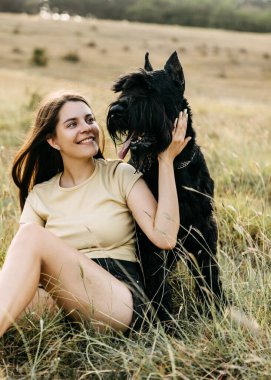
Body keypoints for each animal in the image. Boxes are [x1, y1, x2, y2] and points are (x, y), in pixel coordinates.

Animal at [107, 52, 226, 322]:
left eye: (149, 90)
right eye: (124, 89)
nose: (116, 111)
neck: (173, 166)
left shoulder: (203, 226)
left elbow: (210, 271)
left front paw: (217, 308)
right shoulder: (149, 237)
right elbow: (156, 278)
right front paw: (164, 318)